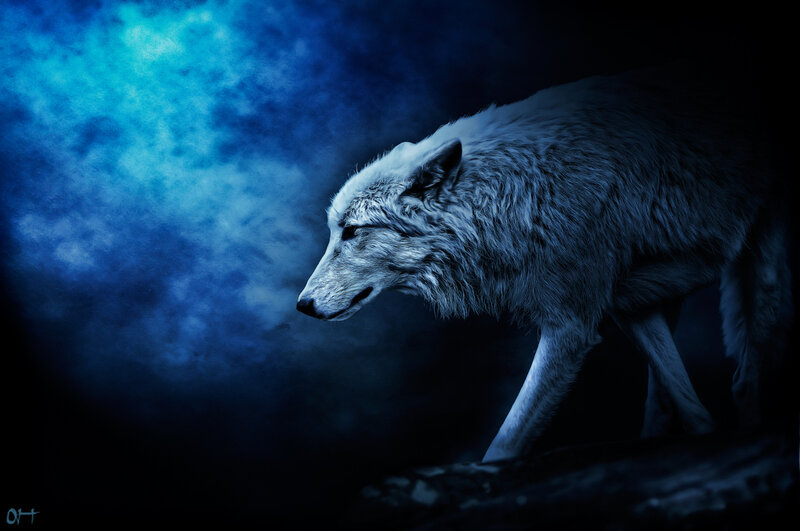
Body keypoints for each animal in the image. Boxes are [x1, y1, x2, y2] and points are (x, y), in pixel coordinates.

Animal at [297, 66, 793, 463]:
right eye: (334, 230)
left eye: (352, 231)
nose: (301, 305)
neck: (506, 197)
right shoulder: (622, 307)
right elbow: (690, 406)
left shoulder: (571, 328)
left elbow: (505, 444)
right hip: (655, 300)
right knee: (677, 401)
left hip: (762, 278)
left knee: (743, 378)